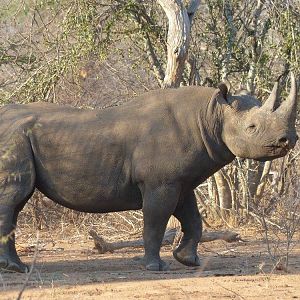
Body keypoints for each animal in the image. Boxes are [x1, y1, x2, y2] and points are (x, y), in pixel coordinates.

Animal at [0, 72, 296, 272]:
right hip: (13, 137)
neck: (211, 114)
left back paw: (16, 268)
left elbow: (193, 220)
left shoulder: (181, 181)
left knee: (15, 202)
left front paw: (188, 260)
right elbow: (156, 221)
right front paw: (155, 267)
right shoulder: (160, 182)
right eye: (252, 128)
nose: (288, 140)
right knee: (14, 199)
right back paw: (16, 269)